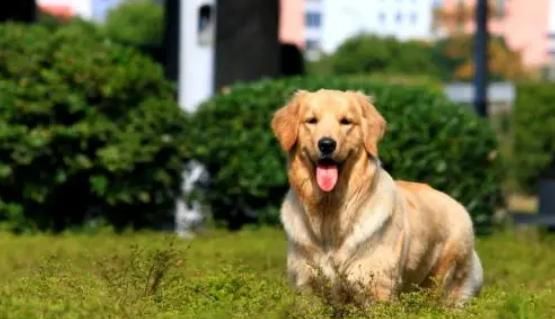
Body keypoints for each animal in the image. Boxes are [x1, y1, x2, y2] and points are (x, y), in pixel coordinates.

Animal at [272, 89, 484, 306]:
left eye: (346, 121)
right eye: (312, 120)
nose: (326, 144)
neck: (330, 212)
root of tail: (459, 205)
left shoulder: (376, 287)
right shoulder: (306, 287)